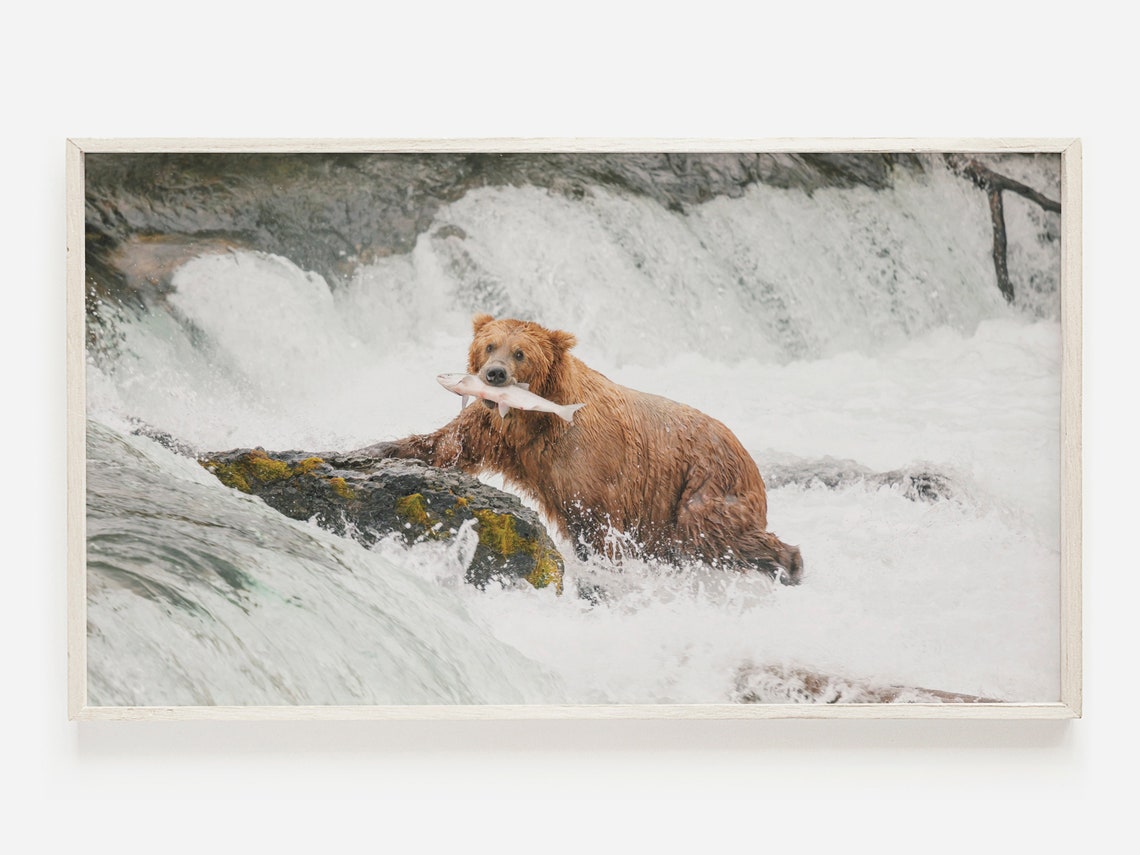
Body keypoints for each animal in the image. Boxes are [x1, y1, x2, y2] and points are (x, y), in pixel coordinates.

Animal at [360, 314, 803, 584]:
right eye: (489, 345)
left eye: (520, 352)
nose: (494, 374)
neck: (537, 418)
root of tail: (746, 452)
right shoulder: (496, 430)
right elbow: (446, 445)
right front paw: (374, 449)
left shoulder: (590, 461)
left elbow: (597, 522)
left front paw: (603, 572)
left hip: (702, 481)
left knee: (709, 531)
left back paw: (789, 563)